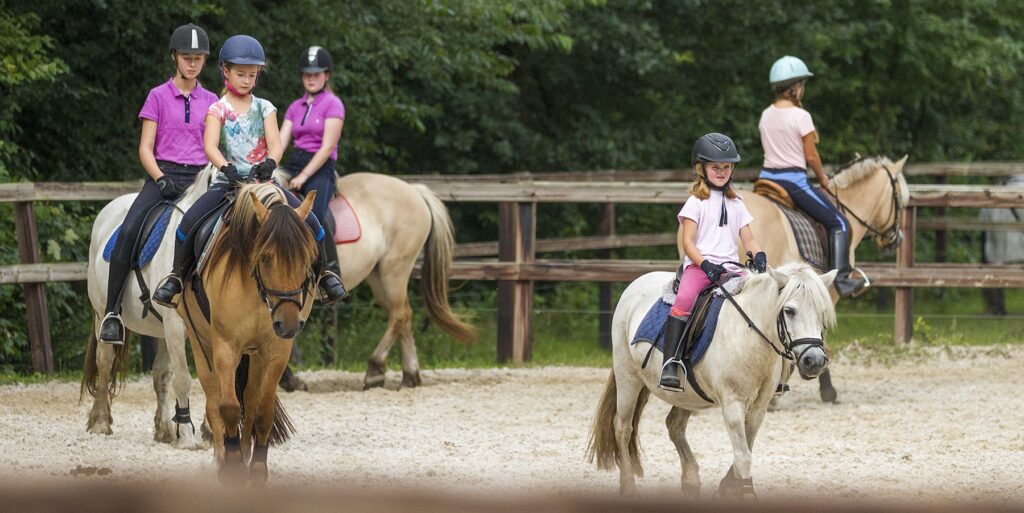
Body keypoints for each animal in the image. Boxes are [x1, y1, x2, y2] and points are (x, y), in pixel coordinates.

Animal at [81, 164, 214, 448]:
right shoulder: (176, 324)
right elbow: (184, 378)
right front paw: (188, 437)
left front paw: (210, 429)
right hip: (101, 314)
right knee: (104, 361)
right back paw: (100, 422)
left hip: (160, 330)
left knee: (160, 374)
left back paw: (165, 430)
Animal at [180, 184, 313, 483]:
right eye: (265, 257)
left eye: (307, 259)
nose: (288, 324)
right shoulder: (226, 346)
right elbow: (228, 407)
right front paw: (232, 467)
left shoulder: (275, 352)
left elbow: (262, 412)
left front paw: (257, 469)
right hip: (201, 344)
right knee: (214, 398)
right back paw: (221, 458)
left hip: (254, 355)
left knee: (250, 401)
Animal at [276, 172, 475, 387]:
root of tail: (415, 191)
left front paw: (289, 380)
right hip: (378, 276)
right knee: (403, 315)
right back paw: (410, 375)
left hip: (395, 269)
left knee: (400, 314)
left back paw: (375, 371)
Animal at [589, 260, 835, 495]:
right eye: (790, 311)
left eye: (822, 312)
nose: (814, 361)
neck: (748, 335)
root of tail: (636, 284)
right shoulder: (732, 405)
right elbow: (743, 456)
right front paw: (743, 493)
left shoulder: (759, 408)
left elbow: (747, 448)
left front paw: (728, 486)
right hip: (628, 377)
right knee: (623, 428)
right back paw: (628, 486)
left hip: (687, 395)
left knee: (674, 425)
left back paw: (690, 479)